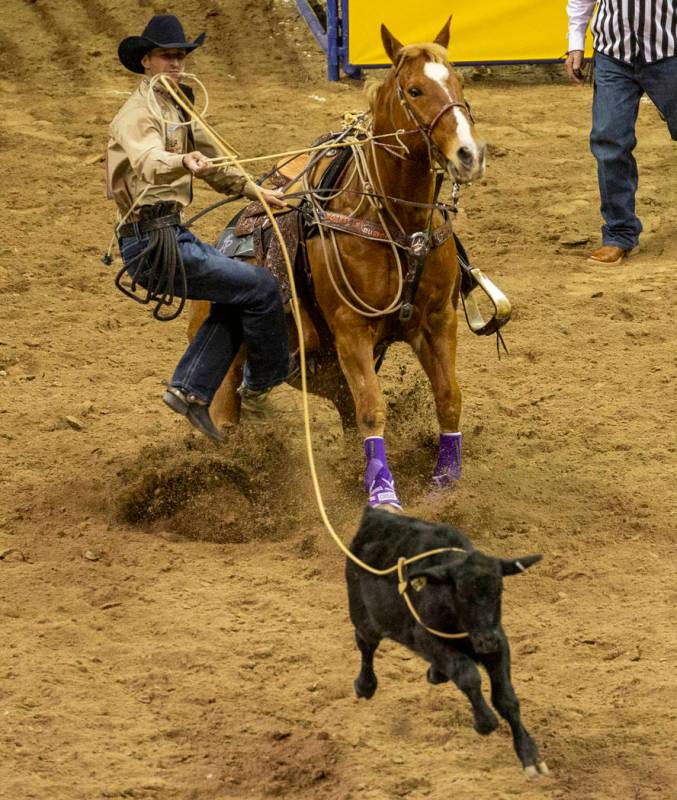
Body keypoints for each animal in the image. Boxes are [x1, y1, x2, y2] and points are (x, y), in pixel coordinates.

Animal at [189, 21, 486, 510]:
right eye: (415, 89)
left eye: (459, 83)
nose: (469, 154)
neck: (395, 224)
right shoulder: (351, 328)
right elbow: (372, 409)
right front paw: (384, 495)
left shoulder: (438, 319)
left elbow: (448, 396)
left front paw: (445, 483)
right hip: (228, 385)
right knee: (228, 428)